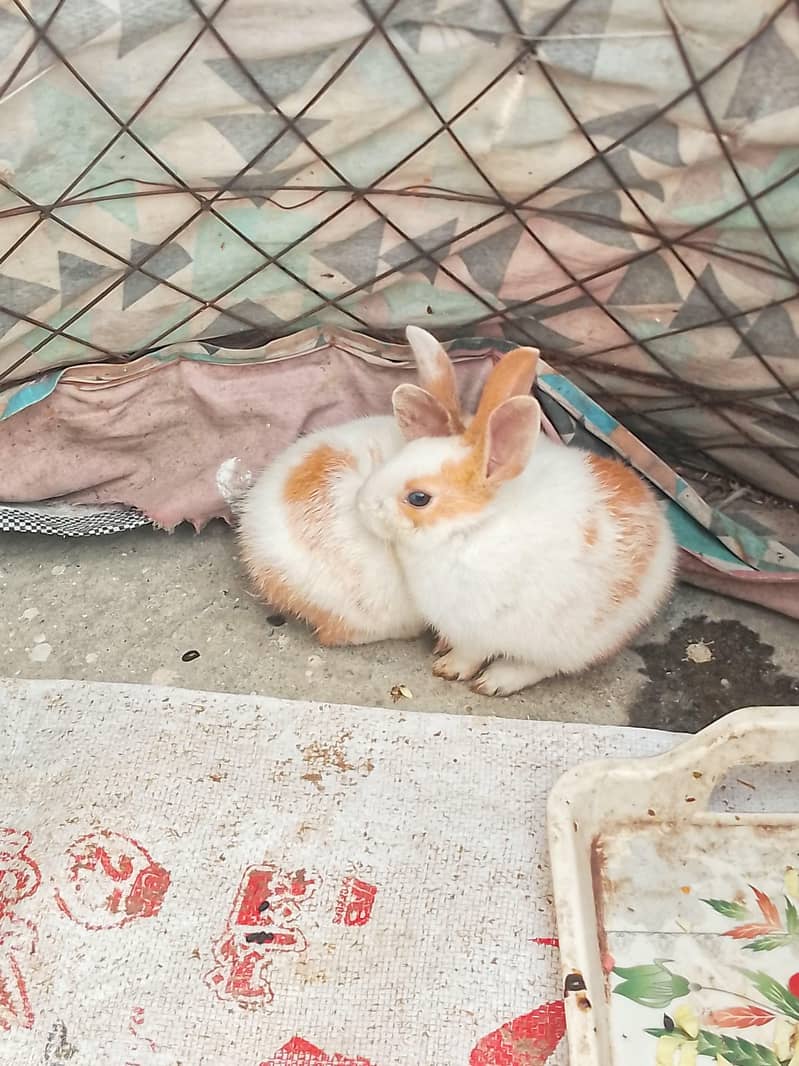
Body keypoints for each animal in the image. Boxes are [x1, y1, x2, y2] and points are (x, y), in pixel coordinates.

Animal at [356, 338, 678, 694]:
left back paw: (494, 682)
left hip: (571, 640)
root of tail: (664, 537)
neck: (470, 528)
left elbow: (470, 654)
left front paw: (449, 669)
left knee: (539, 666)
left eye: (418, 498)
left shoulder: (478, 626)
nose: (362, 505)